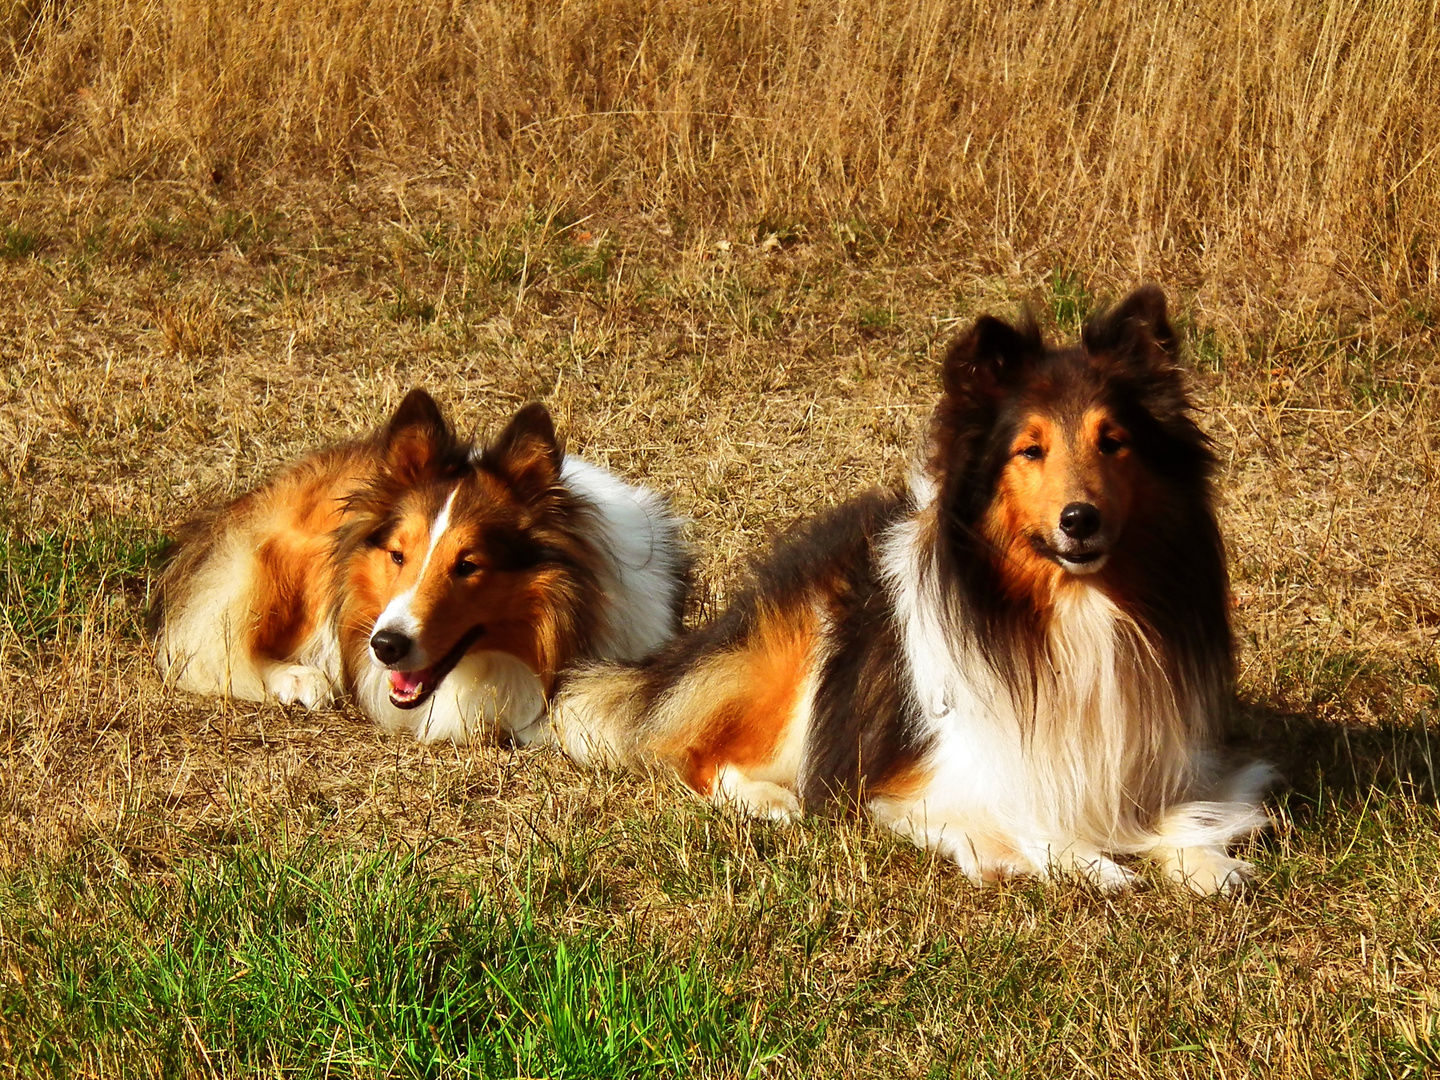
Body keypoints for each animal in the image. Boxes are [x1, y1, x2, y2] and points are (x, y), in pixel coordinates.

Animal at [550, 288, 1272, 898]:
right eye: (1030, 450)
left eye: (1113, 441)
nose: (1080, 520)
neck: (1068, 609)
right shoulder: (928, 784)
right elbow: (1023, 821)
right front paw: (1093, 864)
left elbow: (1183, 815)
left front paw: (1206, 863)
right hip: (804, 654)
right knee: (699, 755)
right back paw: (771, 800)